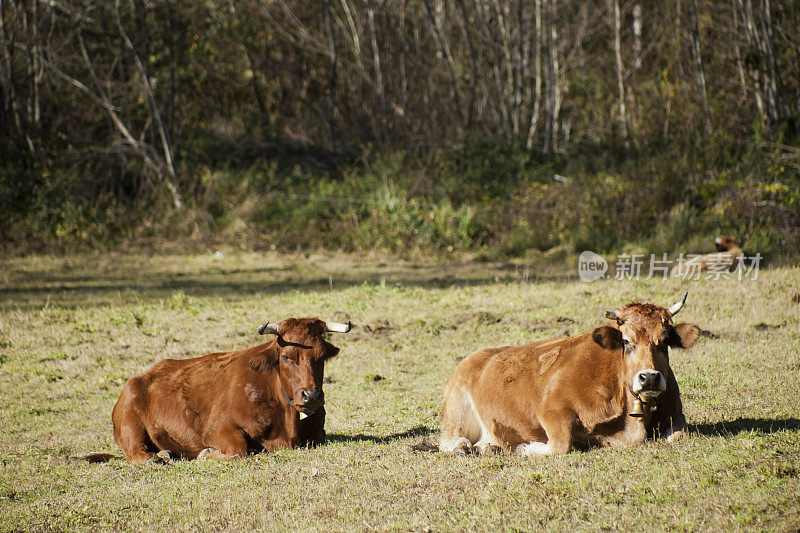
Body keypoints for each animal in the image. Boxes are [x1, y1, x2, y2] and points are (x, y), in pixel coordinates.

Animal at [81, 316, 350, 462]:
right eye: (286, 356)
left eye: (322, 356)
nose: (311, 395)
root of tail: (137, 379)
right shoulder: (219, 429)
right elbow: (239, 450)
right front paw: (205, 454)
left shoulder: (318, 432)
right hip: (130, 424)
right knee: (136, 452)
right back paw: (158, 458)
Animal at [438, 294, 700, 456]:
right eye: (626, 341)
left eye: (664, 341)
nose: (650, 377)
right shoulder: (551, 410)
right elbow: (561, 445)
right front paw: (525, 448)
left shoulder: (676, 414)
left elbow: (680, 434)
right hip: (456, 414)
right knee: (449, 441)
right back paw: (465, 447)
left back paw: (488, 448)